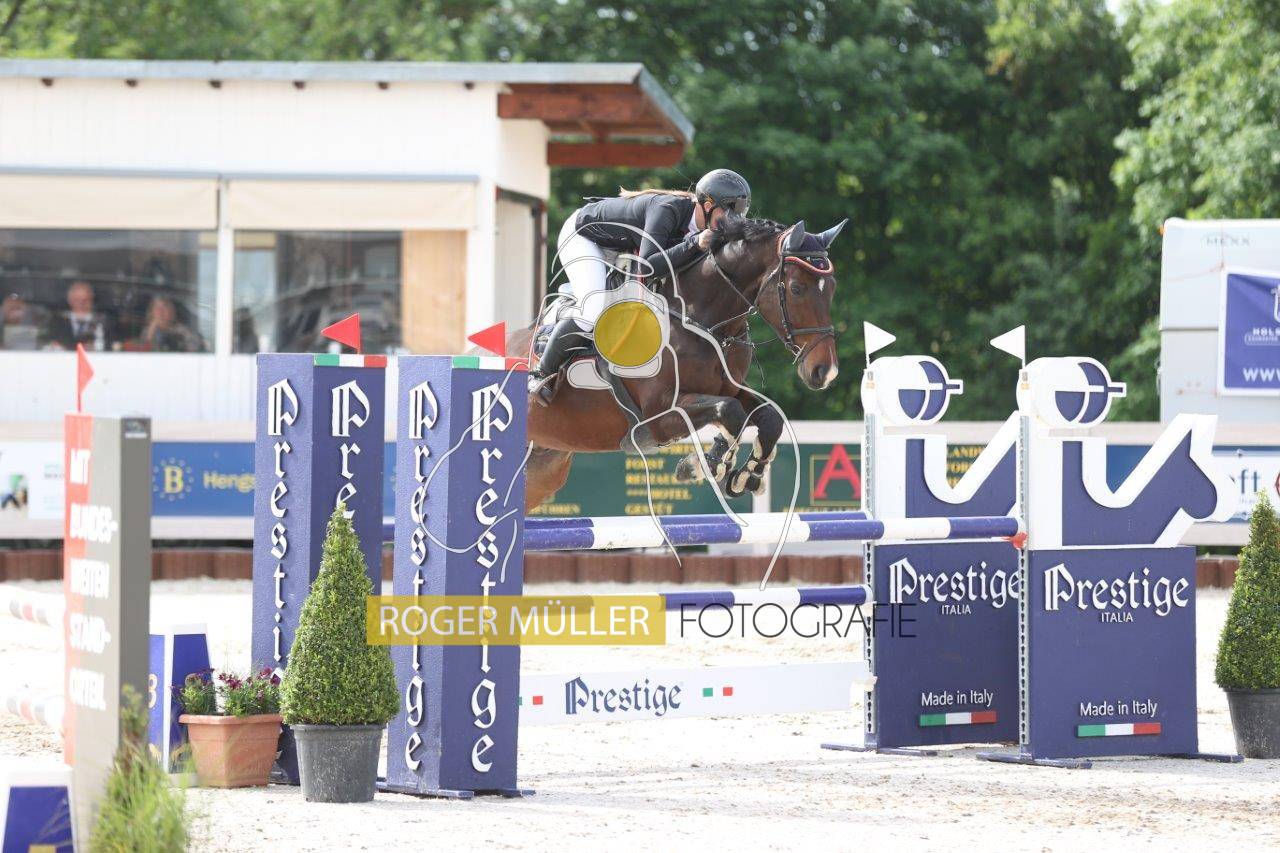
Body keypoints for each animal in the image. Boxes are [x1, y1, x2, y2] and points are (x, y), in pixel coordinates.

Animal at [506, 216, 847, 510]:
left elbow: (768, 416)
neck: (695, 320)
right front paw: (703, 465)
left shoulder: (731, 388)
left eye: (832, 289)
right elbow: (730, 411)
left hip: (544, 467)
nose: (825, 371)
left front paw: (746, 476)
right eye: (796, 289)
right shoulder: (658, 416)